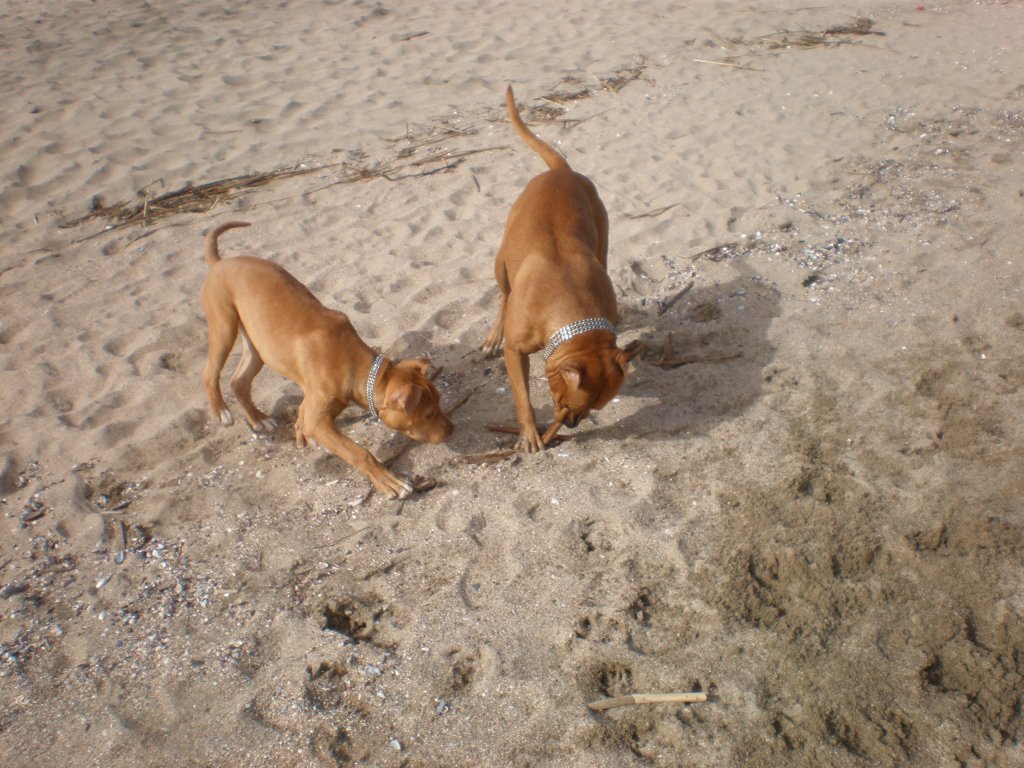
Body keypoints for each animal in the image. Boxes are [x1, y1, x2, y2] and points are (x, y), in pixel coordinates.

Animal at [200, 221, 453, 499]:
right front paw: (389, 481)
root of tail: (220, 262)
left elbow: (302, 413)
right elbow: (359, 452)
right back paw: (221, 411)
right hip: (223, 327)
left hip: (258, 346)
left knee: (239, 381)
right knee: (210, 373)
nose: (452, 429)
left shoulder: (313, 404)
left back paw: (259, 419)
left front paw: (300, 434)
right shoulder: (318, 420)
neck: (355, 365)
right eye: (428, 415)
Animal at [482, 86, 640, 452]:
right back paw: (494, 334)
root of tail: (561, 170)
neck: (567, 298)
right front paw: (529, 434)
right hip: (502, 263)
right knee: (503, 295)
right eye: (563, 401)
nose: (569, 424)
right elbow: (522, 398)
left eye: (595, 407)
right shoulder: (515, 353)